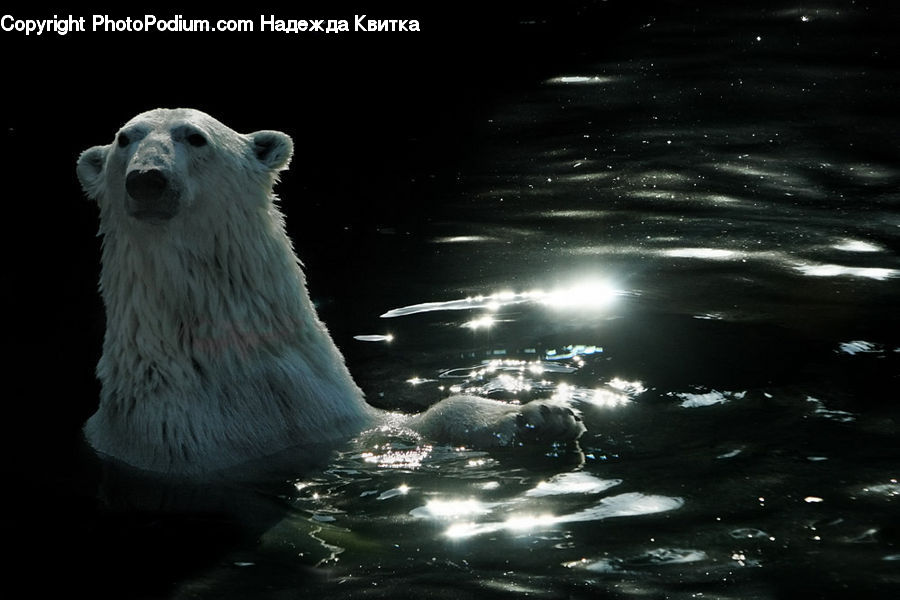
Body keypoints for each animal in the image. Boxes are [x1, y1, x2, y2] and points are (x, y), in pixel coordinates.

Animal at [76, 108, 584, 477]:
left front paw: (543, 416)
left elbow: (412, 425)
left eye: (195, 137)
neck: (232, 362)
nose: (147, 178)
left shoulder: (327, 412)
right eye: (124, 139)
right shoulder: (176, 436)